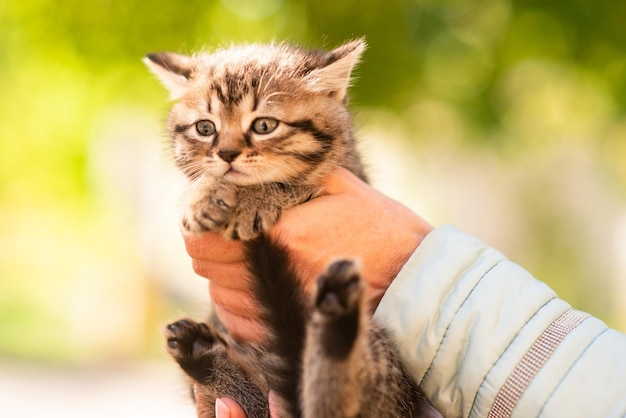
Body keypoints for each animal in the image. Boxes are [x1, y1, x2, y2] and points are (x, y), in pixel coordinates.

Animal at [146, 40, 438, 418]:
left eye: (264, 125)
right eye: (205, 128)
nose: (226, 153)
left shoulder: (347, 173)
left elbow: (290, 181)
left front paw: (253, 199)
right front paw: (203, 194)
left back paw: (336, 329)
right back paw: (201, 354)